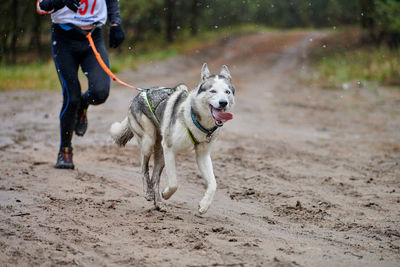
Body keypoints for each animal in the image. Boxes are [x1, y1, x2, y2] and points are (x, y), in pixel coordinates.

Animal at [109, 63, 234, 215]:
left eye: (227, 92)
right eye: (213, 91)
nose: (223, 103)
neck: (194, 118)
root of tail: (140, 93)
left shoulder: (202, 155)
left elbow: (213, 184)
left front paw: (204, 205)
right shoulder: (169, 148)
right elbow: (174, 183)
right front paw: (166, 194)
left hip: (160, 153)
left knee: (155, 178)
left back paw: (158, 203)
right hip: (149, 142)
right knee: (144, 168)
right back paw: (148, 192)